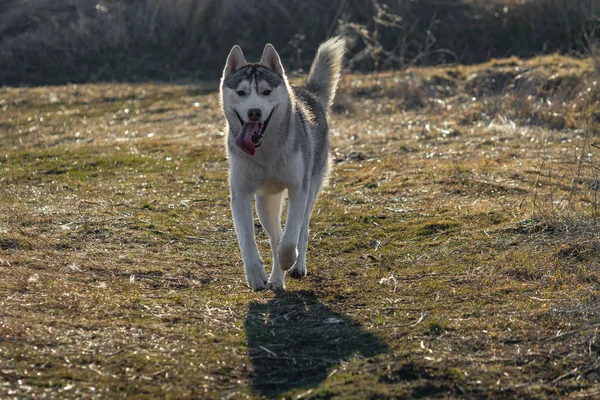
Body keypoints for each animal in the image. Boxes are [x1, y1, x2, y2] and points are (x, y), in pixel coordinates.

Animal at [220, 37, 344, 290]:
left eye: (266, 91)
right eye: (241, 92)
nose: (254, 112)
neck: (265, 152)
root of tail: (307, 92)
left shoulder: (299, 189)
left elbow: (289, 240)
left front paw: (289, 259)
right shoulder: (241, 194)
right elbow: (247, 240)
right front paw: (256, 275)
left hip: (311, 188)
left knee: (301, 229)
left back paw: (297, 266)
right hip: (265, 202)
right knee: (274, 235)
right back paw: (276, 280)